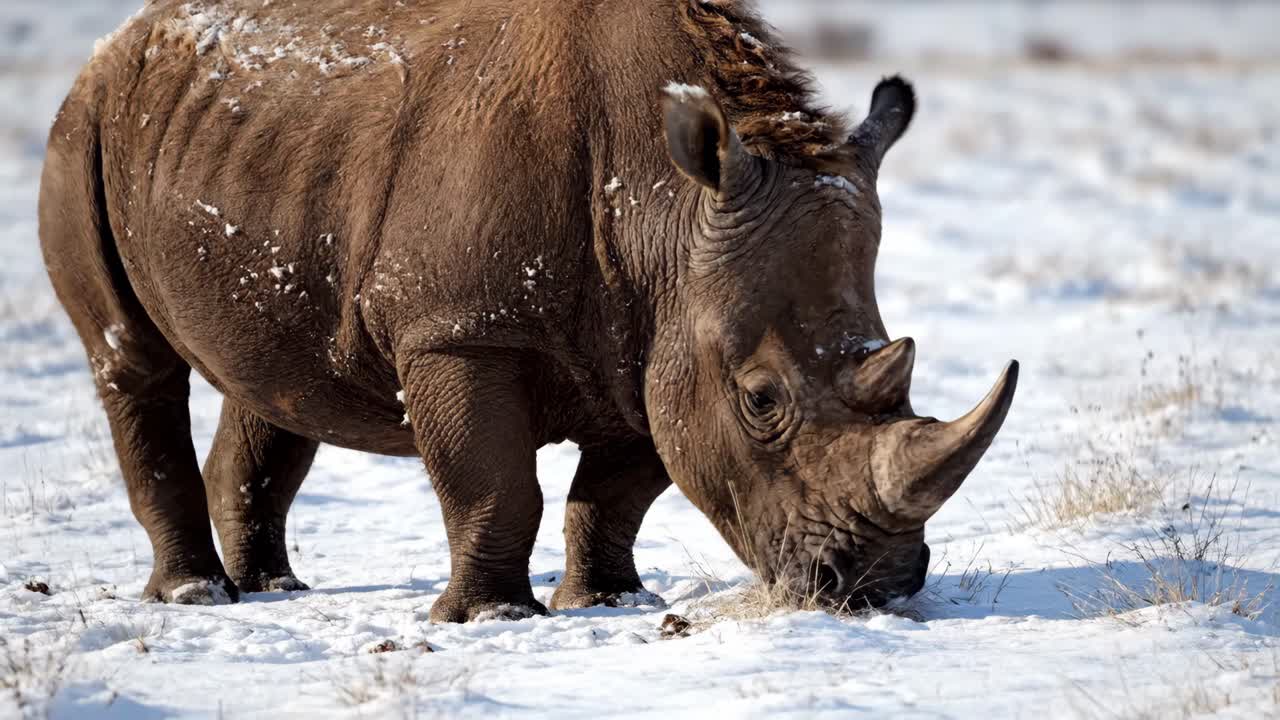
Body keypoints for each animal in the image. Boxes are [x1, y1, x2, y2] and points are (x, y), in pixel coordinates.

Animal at [39, 0, 1017, 622]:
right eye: (761, 399)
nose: (876, 587)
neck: (665, 208)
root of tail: (124, 36)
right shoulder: (458, 330)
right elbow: (496, 482)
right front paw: (491, 619)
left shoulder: (655, 337)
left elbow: (617, 491)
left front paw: (612, 602)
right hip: (83, 125)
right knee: (132, 360)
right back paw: (196, 597)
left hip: (241, 146)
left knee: (273, 384)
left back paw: (275, 591)